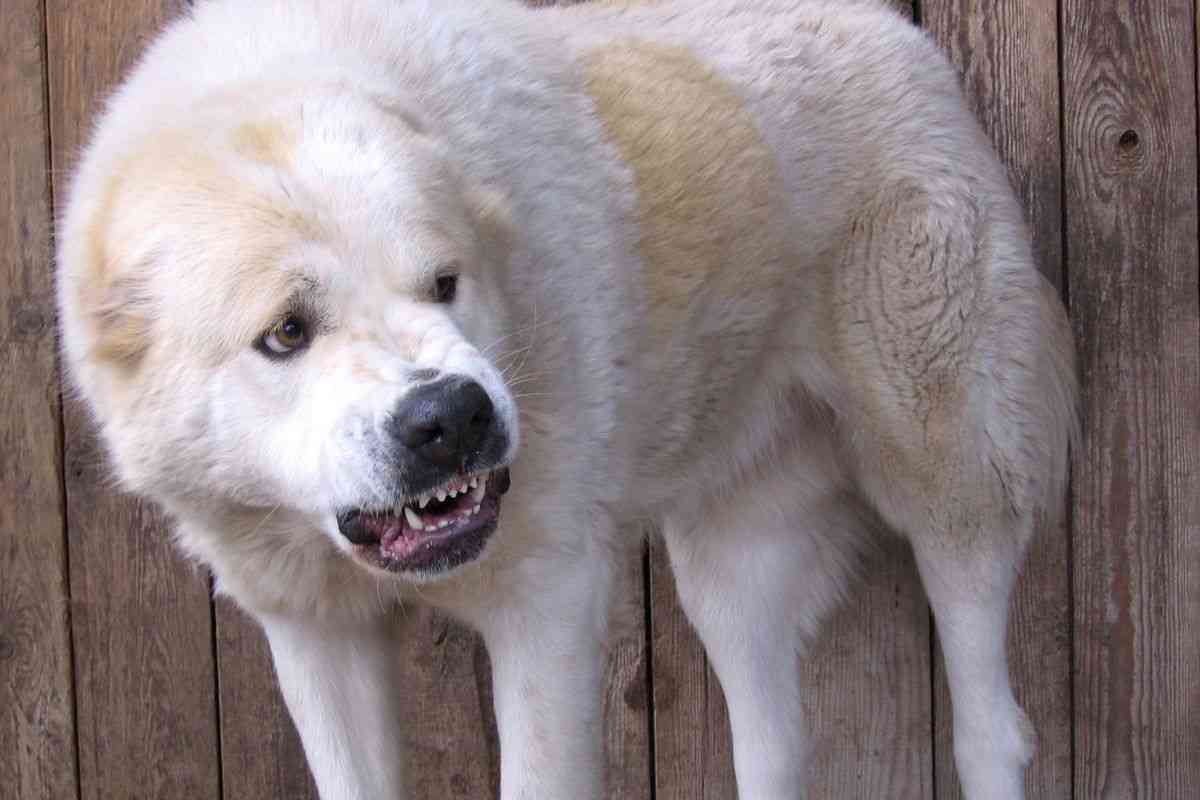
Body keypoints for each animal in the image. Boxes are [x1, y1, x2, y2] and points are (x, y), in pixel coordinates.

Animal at [54, 1, 1080, 796]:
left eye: (444, 282)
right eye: (287, 333)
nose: (452, 417)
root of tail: (902, 37)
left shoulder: (546, 607)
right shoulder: (316, 637)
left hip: (950, 477)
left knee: (991, 723)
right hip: (731, 571)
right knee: (774, 746)